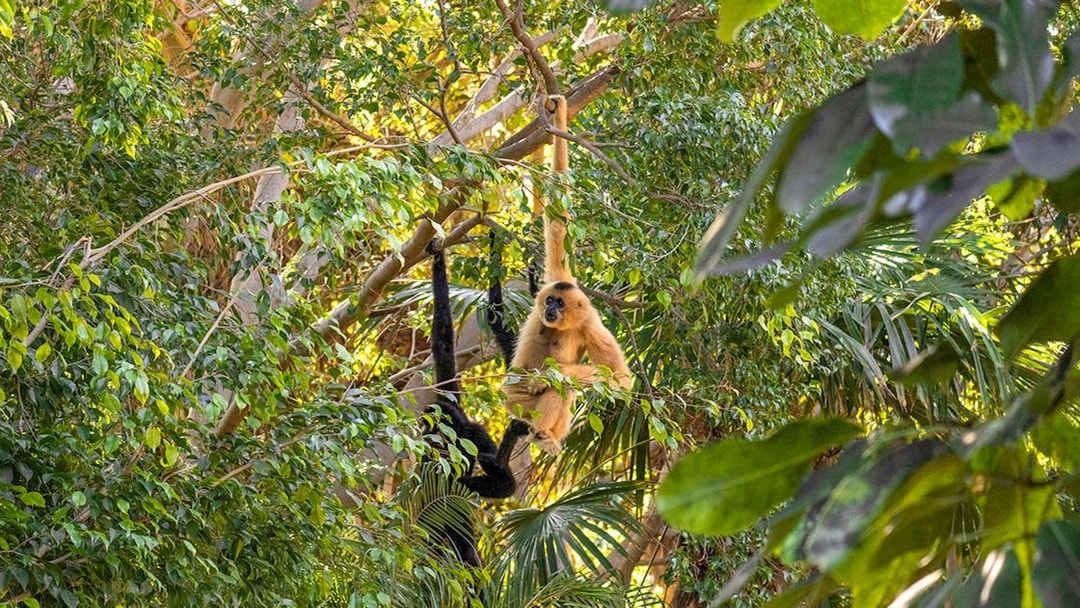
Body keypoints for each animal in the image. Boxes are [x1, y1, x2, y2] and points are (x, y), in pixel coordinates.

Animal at [501, 95, 633, 456]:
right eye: (550, 300)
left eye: (559, 304)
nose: (549, 309)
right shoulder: (555, 278)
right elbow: (557, 219)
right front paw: (557, 114)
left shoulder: (593, 327)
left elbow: (620, 380)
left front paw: (554, 371)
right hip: (514, 401)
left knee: (566, 389)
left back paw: (545, 435)